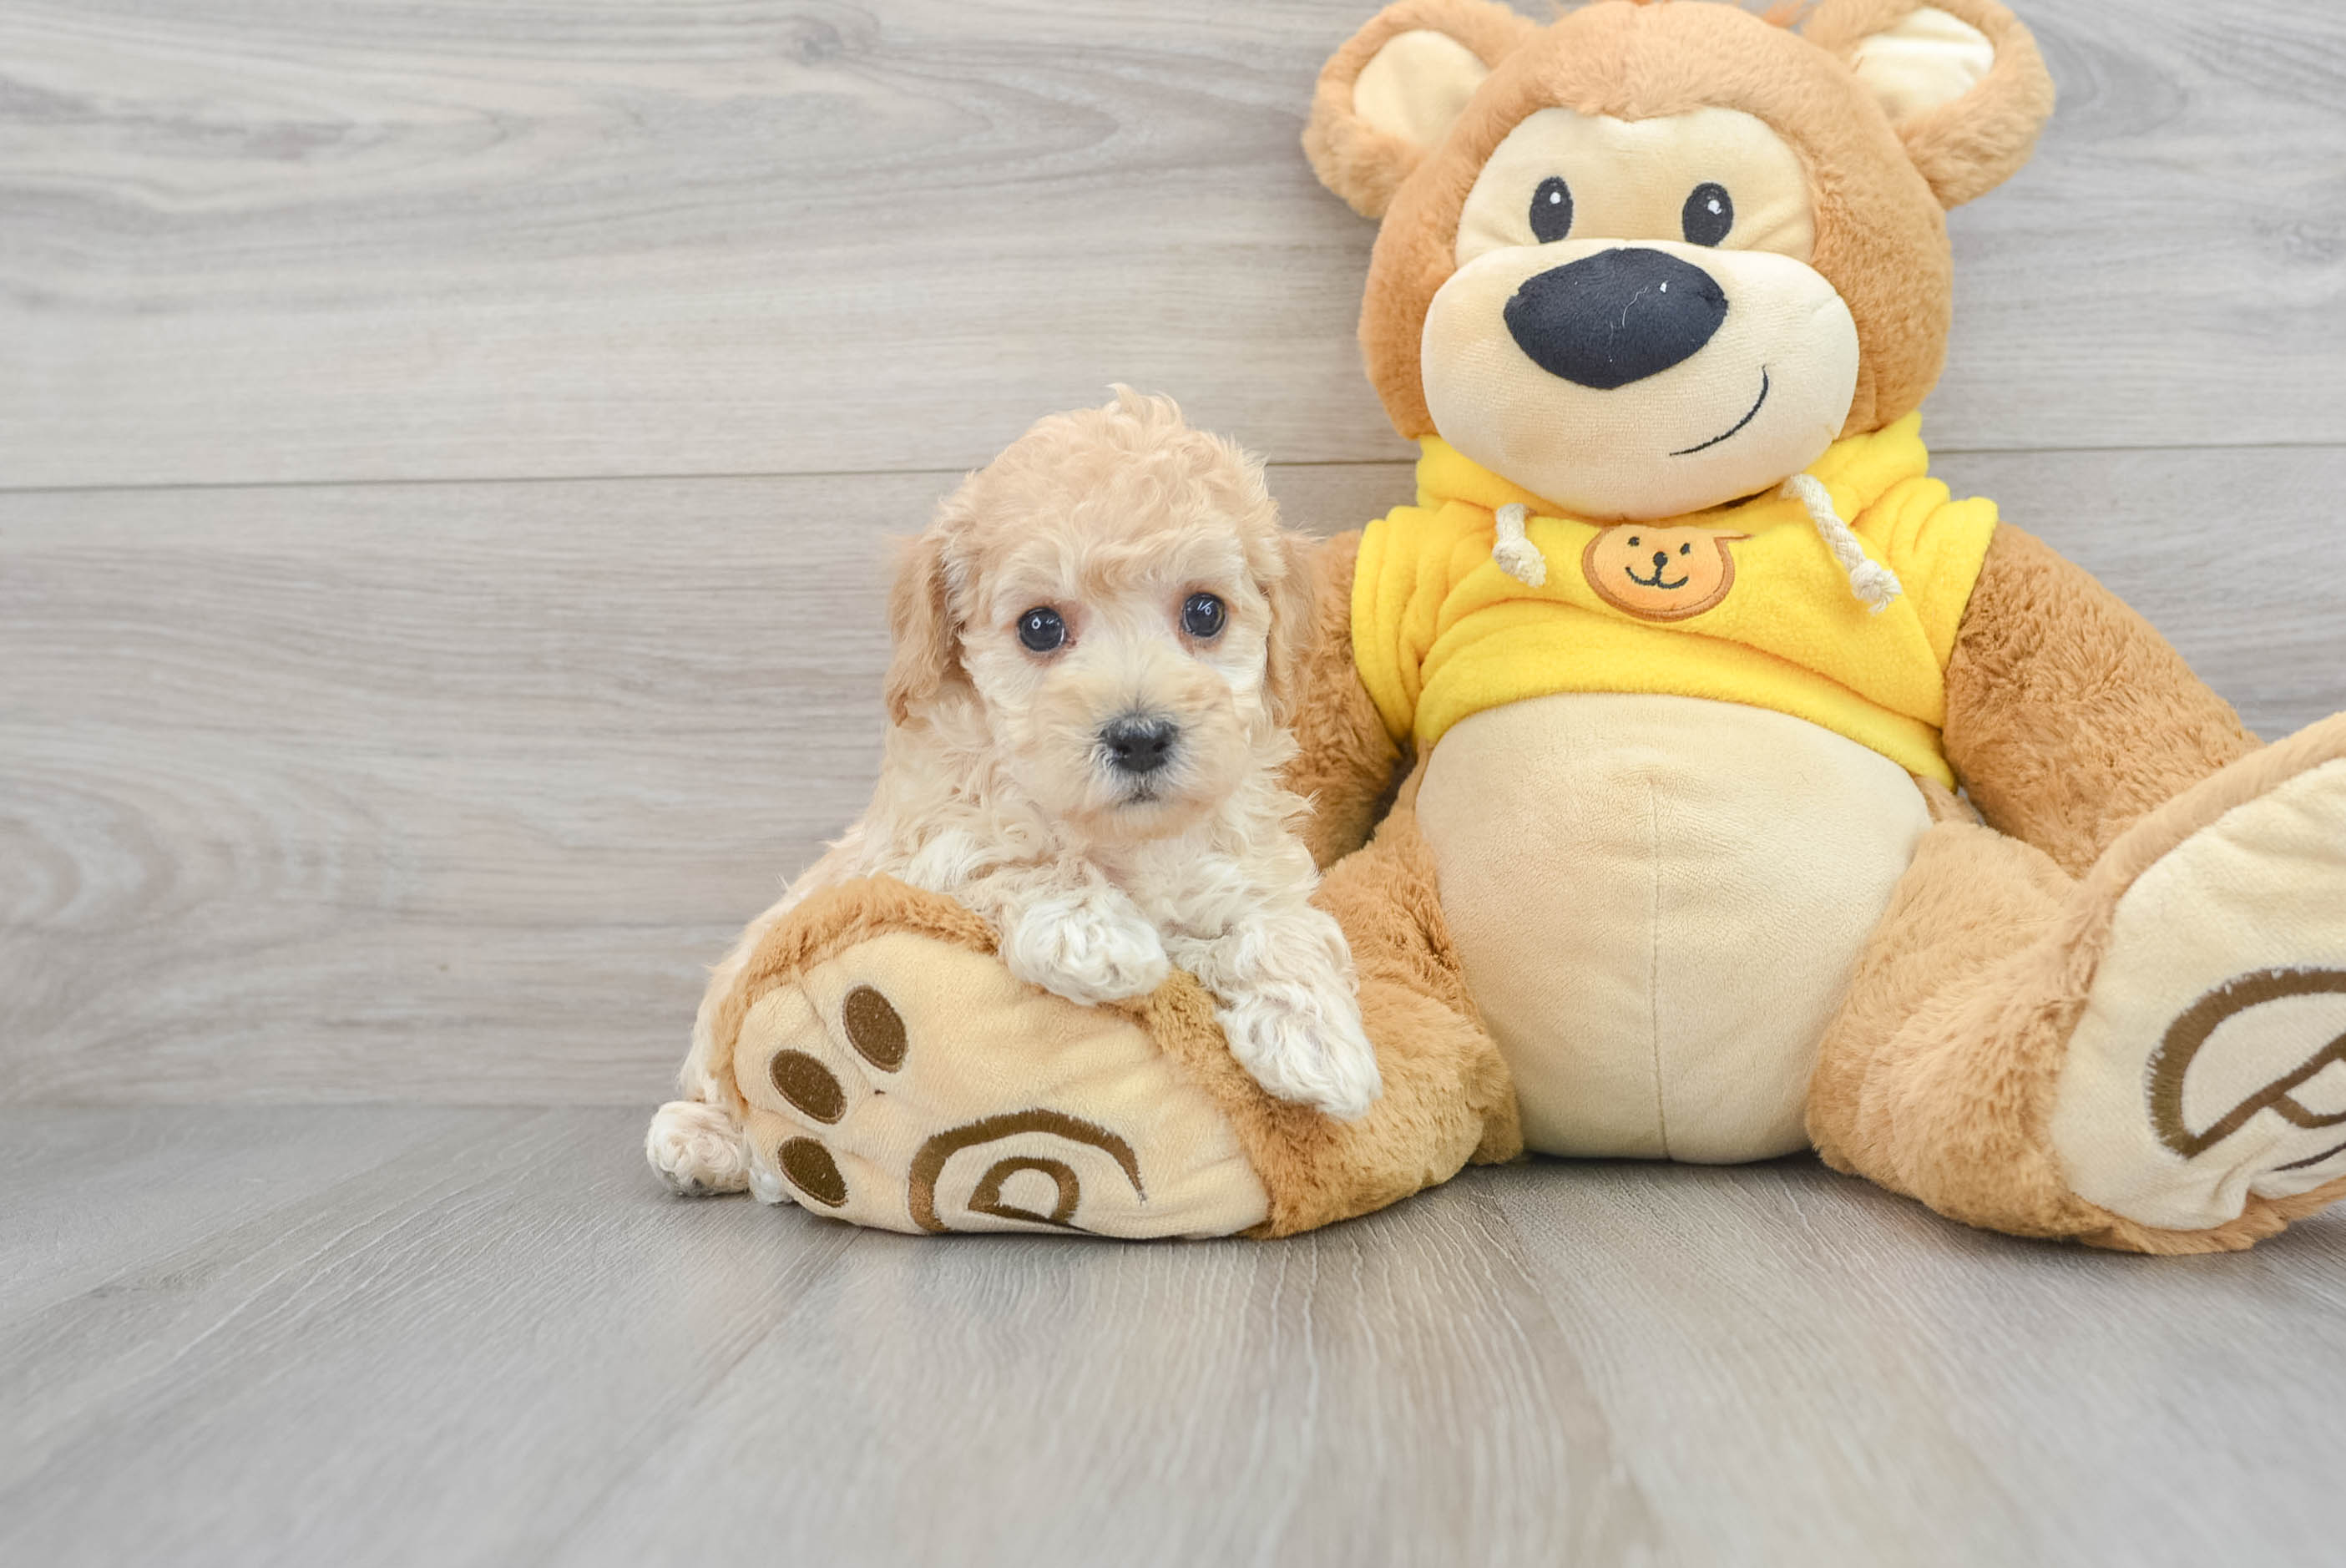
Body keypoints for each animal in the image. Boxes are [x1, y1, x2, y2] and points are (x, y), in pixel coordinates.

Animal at [647, 385, 1370, 1192]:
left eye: (1205, 611)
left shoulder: (1242, 862)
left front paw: (1320, 1040)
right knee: (726, 1091)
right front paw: (1095, 935)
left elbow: (1280, 921)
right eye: (1040, 627)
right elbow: (1001, 851)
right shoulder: (921, 843)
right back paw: (702, 1141)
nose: (1140, 736)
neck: (1121, 840)